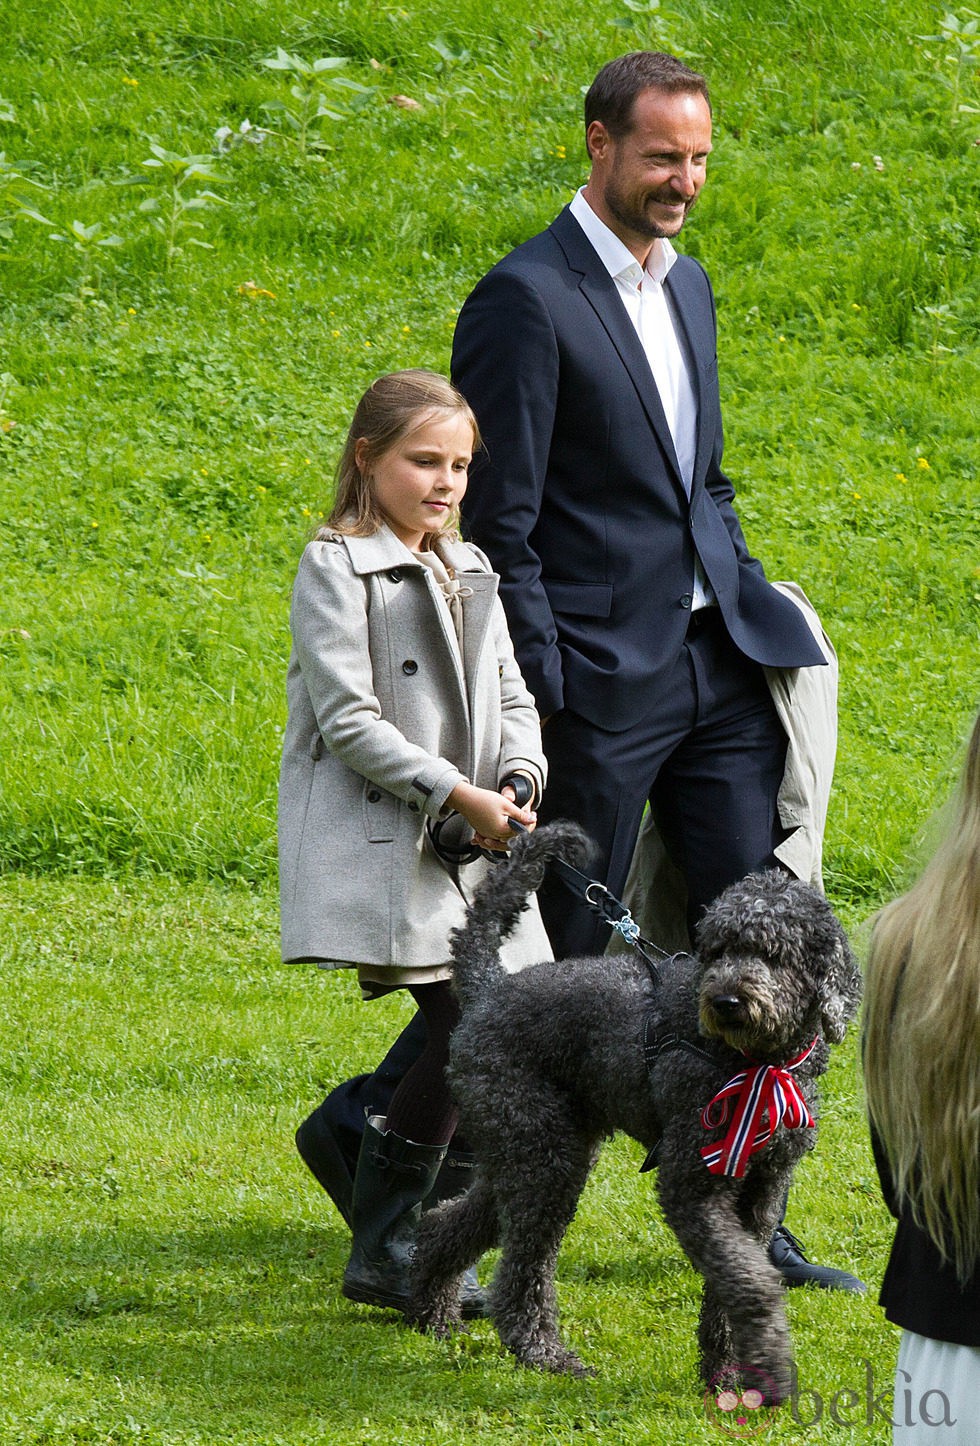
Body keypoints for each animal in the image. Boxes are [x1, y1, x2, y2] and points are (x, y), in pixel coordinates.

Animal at [410, 827, 861, 1399]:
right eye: (719, 949)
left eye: (774, 952)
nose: (726, 1002)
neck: (755, 1062)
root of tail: (491, 987)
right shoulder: (693, 1185)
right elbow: (750, 1279)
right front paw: (770, 1357)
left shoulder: (762, 1190)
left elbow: (730, 1285)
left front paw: (728, 1372)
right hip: (543, 1160)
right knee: (522, 1272)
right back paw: (542, 1352)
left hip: (530, 1151)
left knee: (449, 1221)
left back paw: (432, 1310)